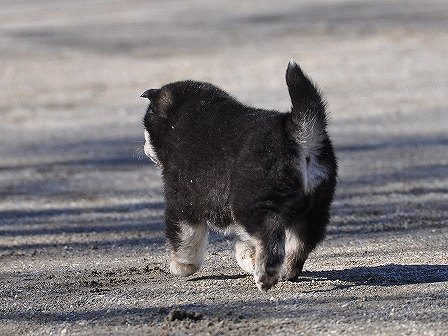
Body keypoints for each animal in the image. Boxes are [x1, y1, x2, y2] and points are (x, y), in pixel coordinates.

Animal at [140, 60, 336, 292]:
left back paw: (267, 274)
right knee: (298, 244)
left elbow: (185, 237)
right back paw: (285, 271)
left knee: (271, 233)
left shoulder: (181, 201)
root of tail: (299, 134)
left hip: (251, 204)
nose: (144, 149)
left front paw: (182, 266)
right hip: (315, 209)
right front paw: (248, 257)